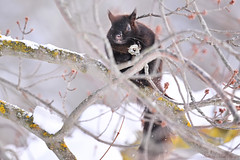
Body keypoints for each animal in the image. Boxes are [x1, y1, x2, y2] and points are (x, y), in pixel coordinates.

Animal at [106, 9, 171, 159]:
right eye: (111, 27)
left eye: (128, 27)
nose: (117, 35)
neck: (124, 44)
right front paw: (123, 58)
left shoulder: (147, 39)